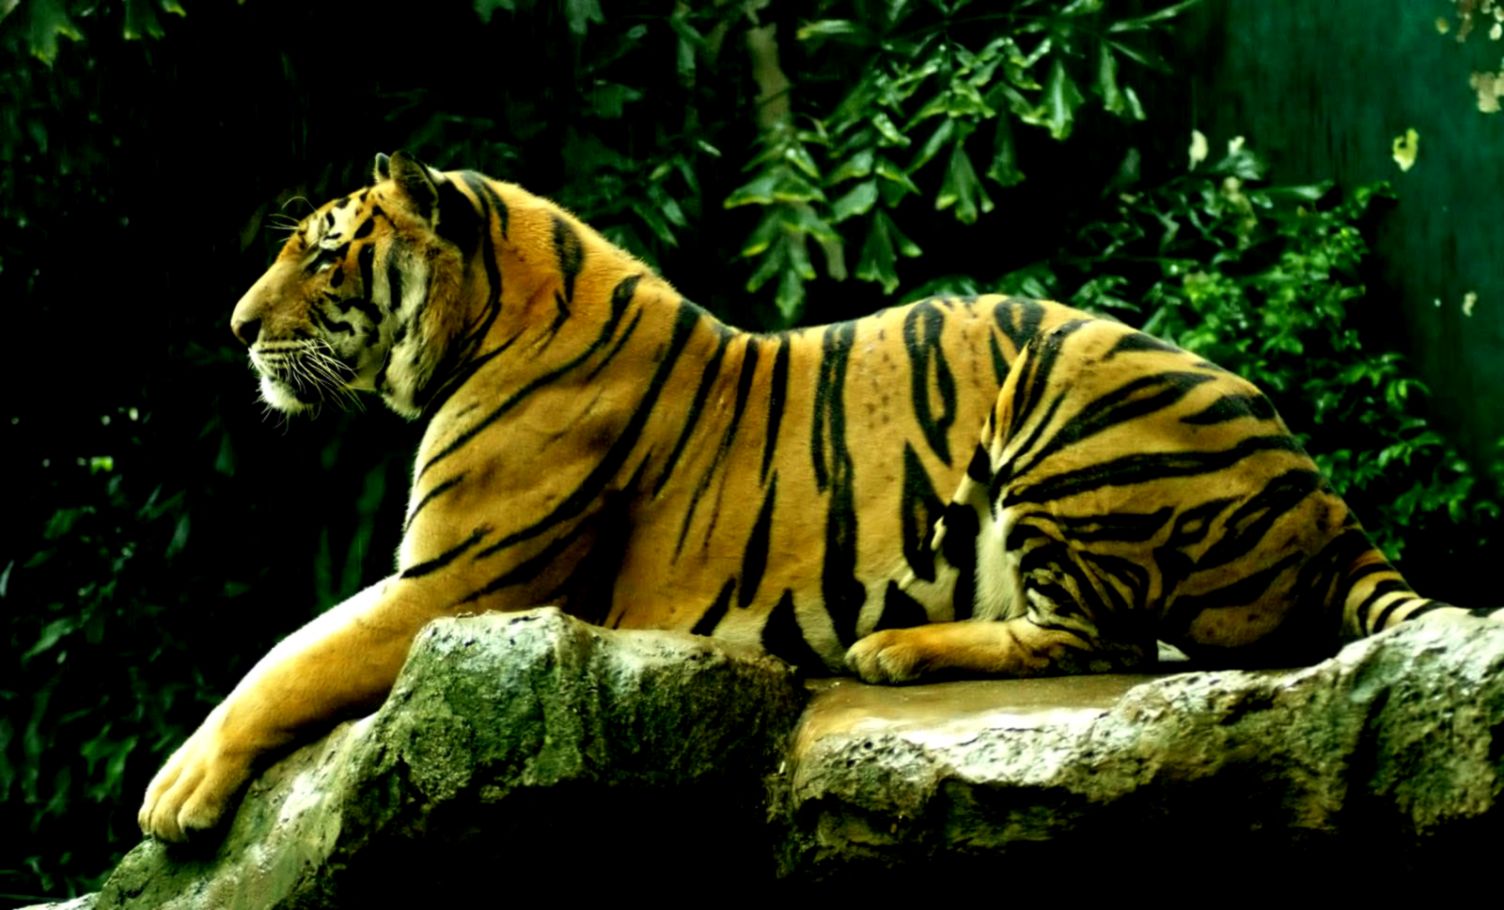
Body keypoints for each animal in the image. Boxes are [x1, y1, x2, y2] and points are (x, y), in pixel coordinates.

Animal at [138, 150, 1486, 842]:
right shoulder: (443, 581)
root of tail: (1321, 493)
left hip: (1066, 394)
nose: (235, 328)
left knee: (1104, 638)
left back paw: (892, 650)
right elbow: (289, 651)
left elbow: (285, 659)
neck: (490, 321)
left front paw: (174, 793)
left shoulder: (455, 584)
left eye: (325, 251)